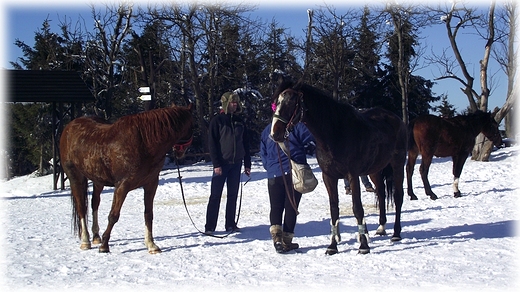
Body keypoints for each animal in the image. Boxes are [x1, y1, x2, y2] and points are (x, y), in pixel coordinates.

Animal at [59, 104, 193, 253]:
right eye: (192, 125)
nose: (182, 152)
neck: (144, 142)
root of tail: (68, 128)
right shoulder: (122, 185)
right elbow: (113, 215)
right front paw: (104, 246)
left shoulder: (151, 183)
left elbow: (148, 214)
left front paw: (151, 244)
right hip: (75, 177)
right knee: (81, 207)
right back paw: (85, 241)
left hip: (98, 180)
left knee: (95, 203)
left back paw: (96, 237)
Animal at [270, 78, 408, 256]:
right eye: (277, 102)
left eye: (292, 102)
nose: (275, 133)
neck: (335, 133)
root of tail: (396, 119)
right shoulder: (329, 177)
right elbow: (334, 209)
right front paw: (332, 246)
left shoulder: (353, 176)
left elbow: (357, 208)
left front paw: (363, 245)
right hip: (375, 171)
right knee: (382, 194)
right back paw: (381, 228)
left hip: (397, 164)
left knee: (398, 196)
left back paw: (396, 233)